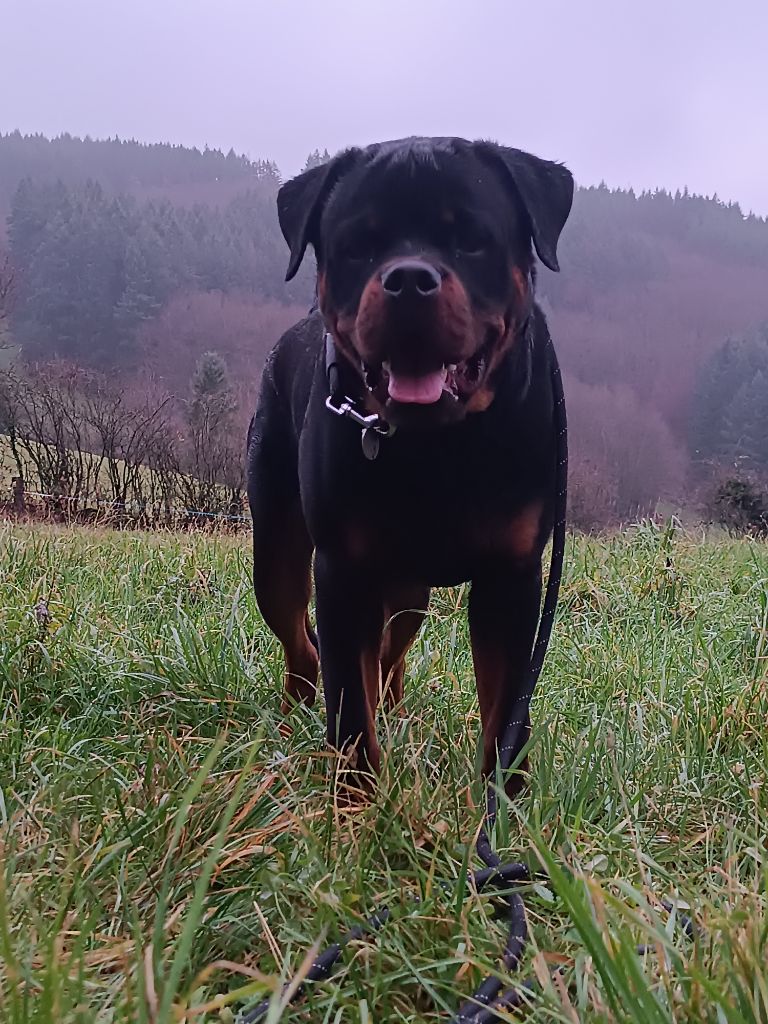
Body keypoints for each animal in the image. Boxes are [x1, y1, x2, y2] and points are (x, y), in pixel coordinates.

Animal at [247, 137, 573, 793]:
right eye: (358, 245)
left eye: (471, 239)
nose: (408, 280)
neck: (436, 447)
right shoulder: (342, 569)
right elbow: (350, 709)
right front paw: (355, 804)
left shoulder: (512, 575)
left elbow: (506, 711)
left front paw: (504, 803)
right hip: (277, 551)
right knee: (306, 646)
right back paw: (296, 713)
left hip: (408, 589)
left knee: (387, 656)